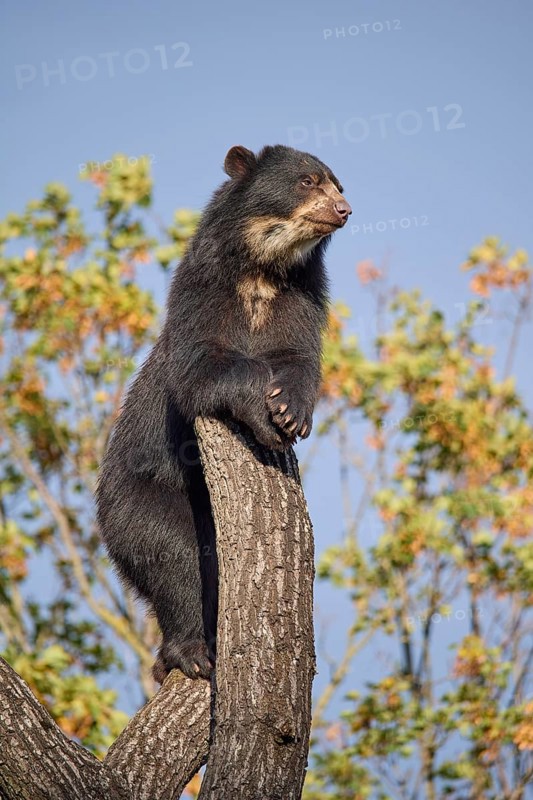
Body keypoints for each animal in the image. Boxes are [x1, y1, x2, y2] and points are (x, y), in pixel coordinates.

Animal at [95, 144, 351, 682]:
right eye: (308, 181)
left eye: (338, 183)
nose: (344, 210)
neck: (262, 270)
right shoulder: (201, 294)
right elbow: (200, 367)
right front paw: (266, 415)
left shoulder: (300, 300)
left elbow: (298, 357)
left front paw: (291, 413)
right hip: (140, 499)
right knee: (177, 556)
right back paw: (191, 652)